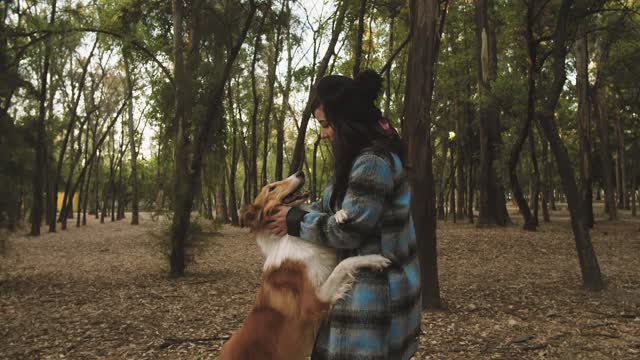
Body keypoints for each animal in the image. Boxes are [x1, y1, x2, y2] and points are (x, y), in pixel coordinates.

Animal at [220, 172, 390, 360]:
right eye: (271, 188)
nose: (300, 172)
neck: (288, 235)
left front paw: (339, 214)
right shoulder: (314, 301)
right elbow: (343, 265)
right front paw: (373, 259)